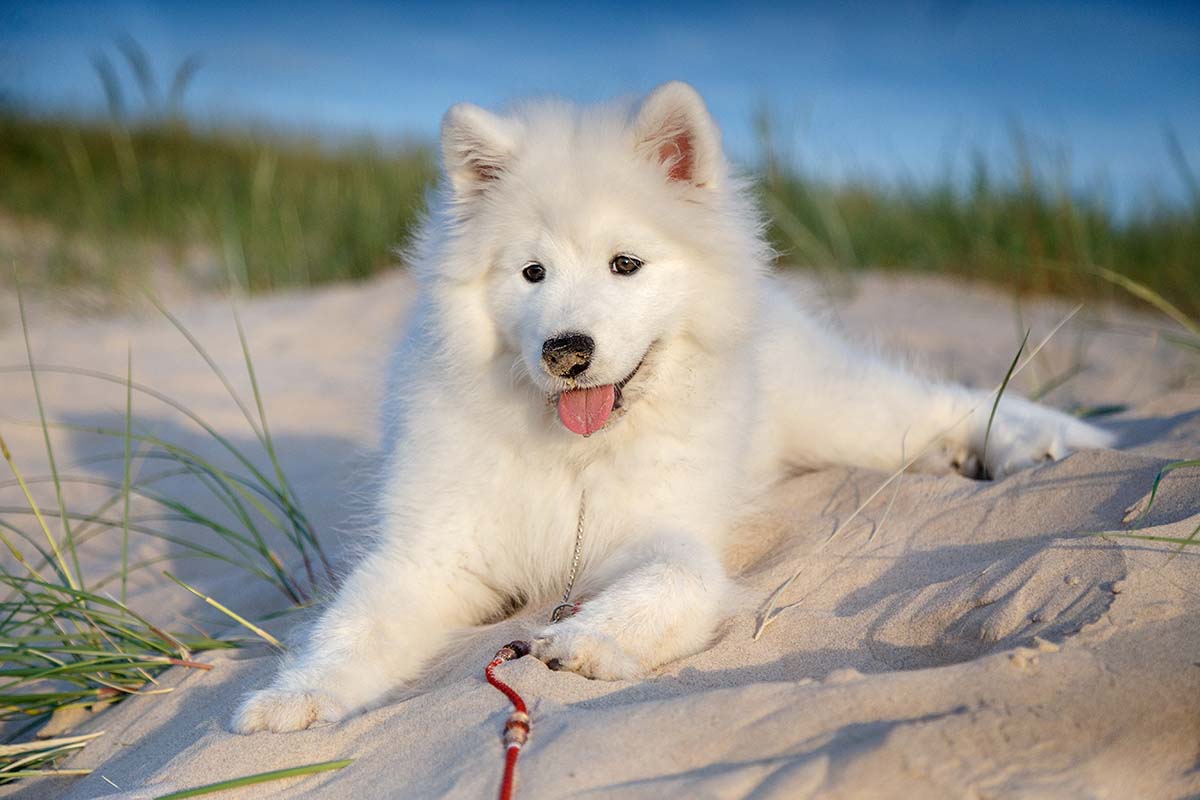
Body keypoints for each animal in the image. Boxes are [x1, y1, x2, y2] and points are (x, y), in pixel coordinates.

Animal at [234, 81, 1113, 734]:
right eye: (531, 273)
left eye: (625, 264)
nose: (565, 351)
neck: (577, 459)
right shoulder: (432, 553)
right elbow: (352, 625)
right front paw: (291, 698)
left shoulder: (669, 532)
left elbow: (670, 583)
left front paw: (585, 640)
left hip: (839, 410)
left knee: (941, 400)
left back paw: (1038, 444)